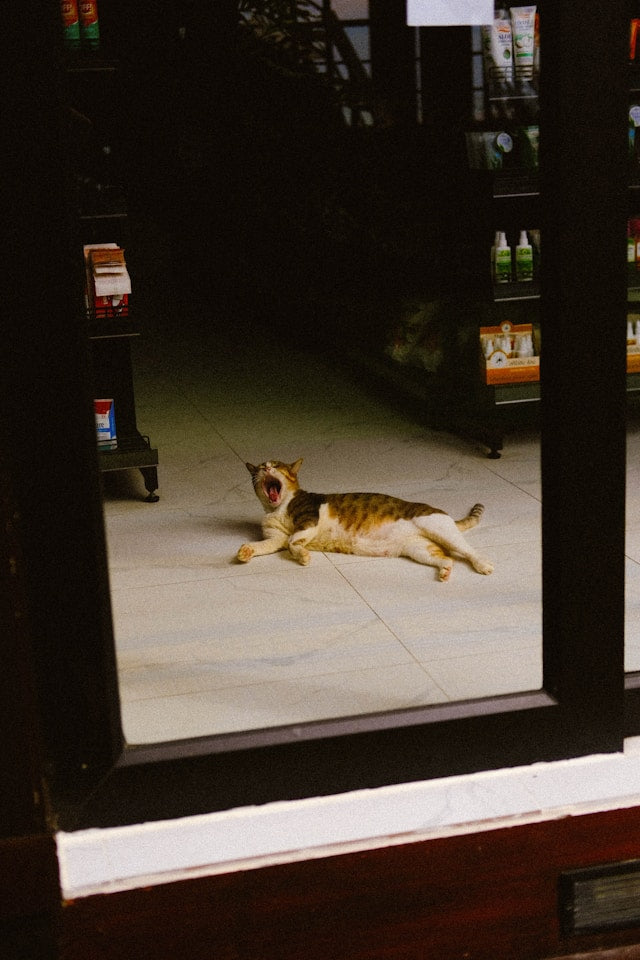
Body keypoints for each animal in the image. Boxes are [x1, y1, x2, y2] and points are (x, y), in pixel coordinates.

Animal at [238, 460, 492, 580]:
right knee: (446, 558)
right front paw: (246, 552)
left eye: (277, 465)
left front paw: (303, 556)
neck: (277, 508)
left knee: (469, 551)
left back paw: (483, 565)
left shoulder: (309, 519)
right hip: (419, 549)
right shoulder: (275, 538)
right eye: (259, 468)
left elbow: (293, 541)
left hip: (439, 529)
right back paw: (445, 572)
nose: (267, 467)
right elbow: (268, 545)